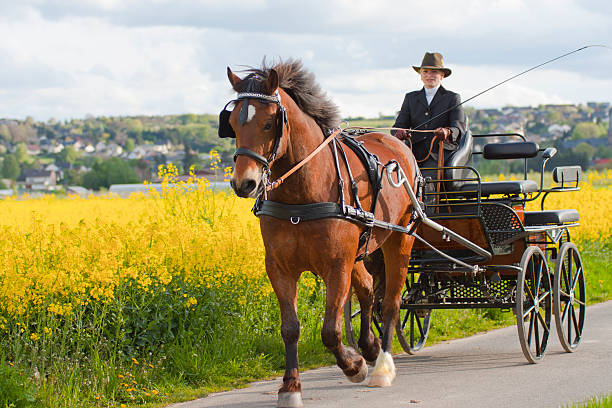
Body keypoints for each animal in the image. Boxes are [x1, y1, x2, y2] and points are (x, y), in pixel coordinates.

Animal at [225, 59, 420, 408]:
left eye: (269, 123)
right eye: (232, 123)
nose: (244, 183)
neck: (301, 196)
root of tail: (399, 144)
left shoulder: (336, 266)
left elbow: (330, 330)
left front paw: (354, 366)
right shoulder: (279, 268)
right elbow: (290, 328)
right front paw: (290, 387)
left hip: (400, 239)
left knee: (391, 302)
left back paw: (382, 365)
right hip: (361, 249)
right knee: (368, 289)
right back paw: (370, 347)